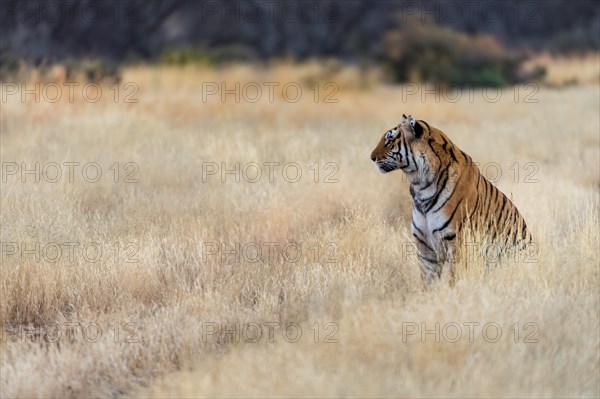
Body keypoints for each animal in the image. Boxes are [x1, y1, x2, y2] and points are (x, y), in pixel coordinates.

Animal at [370, 114, 536, 282]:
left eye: (389, 140)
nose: (372, 157)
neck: (420, 186)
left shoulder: (457, 241)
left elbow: (455, 278)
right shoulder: (425, 246)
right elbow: (428, 280)